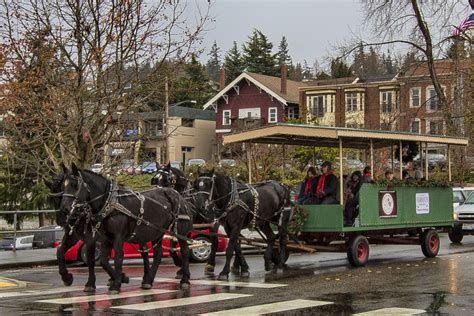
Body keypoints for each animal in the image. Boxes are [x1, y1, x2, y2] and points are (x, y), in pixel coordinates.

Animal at [59, 164, 193, 292]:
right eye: (62, 186)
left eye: (75, 185)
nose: (64, 209)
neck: (110, 203)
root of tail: (177, 194)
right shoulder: (106, 238)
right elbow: (102, 260)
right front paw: (119, 278)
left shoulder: (115, 236)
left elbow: (117, 258)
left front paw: (116, 283)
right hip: (157, 231)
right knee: (158, 254)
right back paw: (148, 280)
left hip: (181, 230)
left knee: (184, 251)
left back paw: (184, 279)